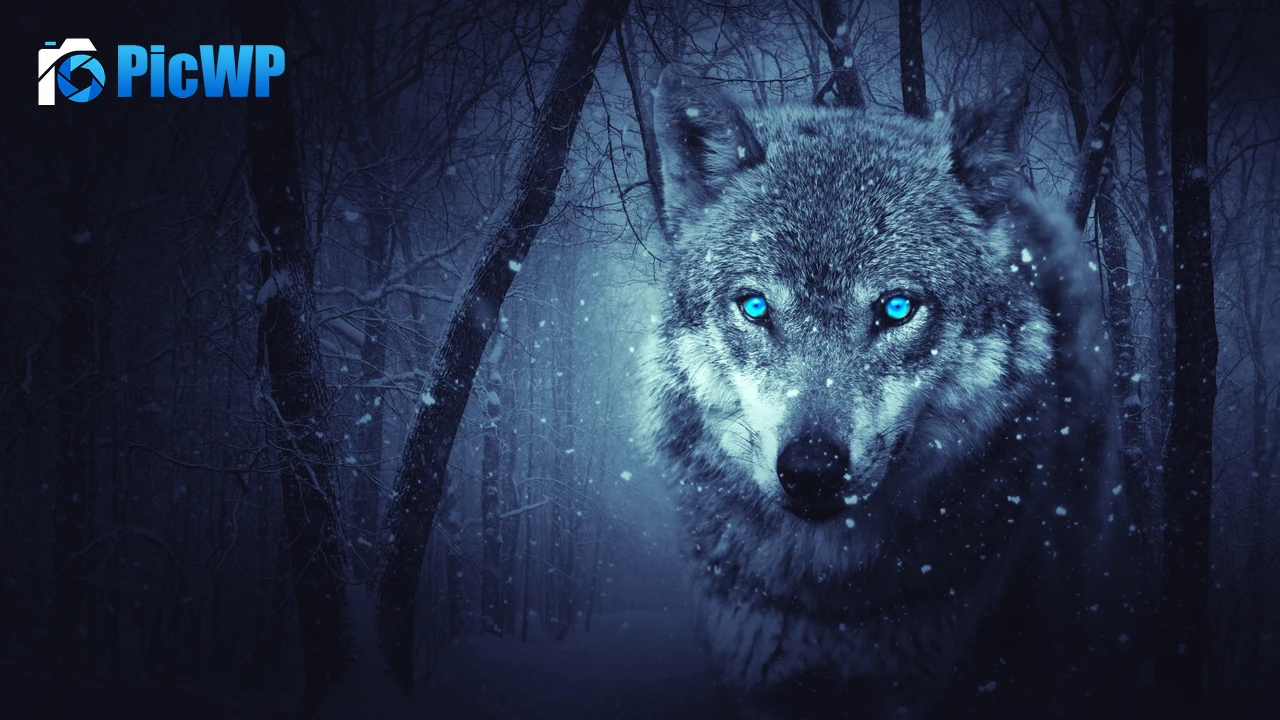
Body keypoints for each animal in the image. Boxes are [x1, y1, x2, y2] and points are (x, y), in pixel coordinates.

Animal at [641, 67, 1142, 719]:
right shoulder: (758, 681)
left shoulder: (918, 683)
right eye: (755, 306)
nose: (811, 469)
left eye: (897, 308)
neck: (832, 597)